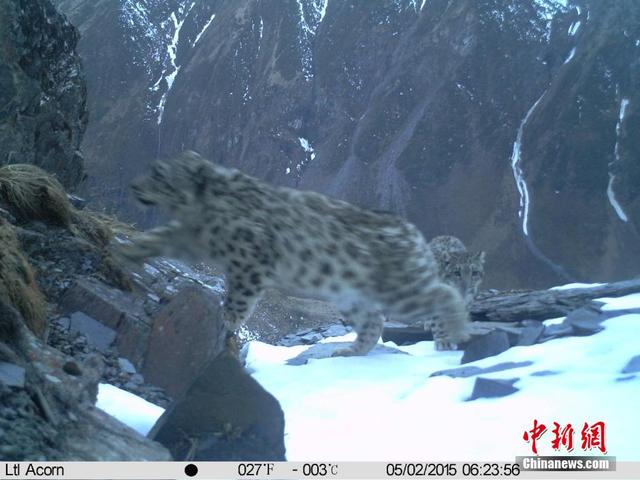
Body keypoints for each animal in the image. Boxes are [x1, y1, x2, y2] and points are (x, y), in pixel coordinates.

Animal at [116, 151, 470, 356]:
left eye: (159, 173)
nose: (132, 186)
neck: (196, 215)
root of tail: (413, 233)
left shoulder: (248, 259)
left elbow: (239, 299)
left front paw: (227, 320)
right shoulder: (189, 238)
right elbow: (156, 238)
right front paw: (126, 251)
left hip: (399, 292)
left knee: (444, 293)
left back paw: (456, 332)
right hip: (351, 297)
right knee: (373, 322)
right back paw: (349, 352)